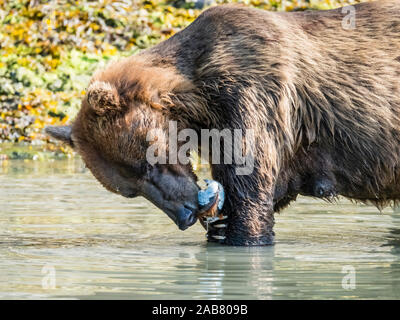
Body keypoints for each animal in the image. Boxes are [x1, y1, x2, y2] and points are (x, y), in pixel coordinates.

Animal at [45, 0, 400, 245]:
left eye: (147, 164)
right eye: (130, 191)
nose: (185, 214)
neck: (199, 101)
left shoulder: (254, 96)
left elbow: (251, 190)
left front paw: (238, 234)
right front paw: (217, 225)